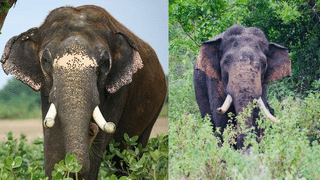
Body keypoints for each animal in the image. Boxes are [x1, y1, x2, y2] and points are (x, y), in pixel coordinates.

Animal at [0, 4, 168, 179]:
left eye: (105, 63)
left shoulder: (119, 90)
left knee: (129, 155)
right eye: (45, 60)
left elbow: (100, 143)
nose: (91, 129)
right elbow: (52, 140)